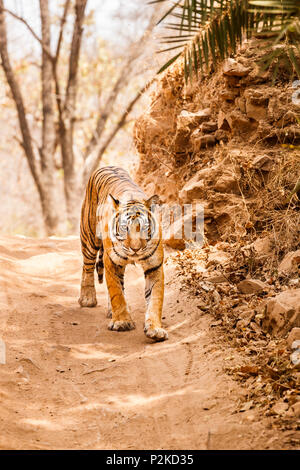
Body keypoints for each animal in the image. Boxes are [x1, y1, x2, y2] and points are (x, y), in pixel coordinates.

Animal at [78, 165, 168, 342]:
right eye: (125, 228)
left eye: (144, 228)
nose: (135, 249)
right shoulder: (112, 262)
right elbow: (117, 293)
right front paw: (122, 322)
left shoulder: (154, 267)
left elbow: (155, 300)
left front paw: (155, 329)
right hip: (89, 237)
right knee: (87, 267)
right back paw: (87, 298)